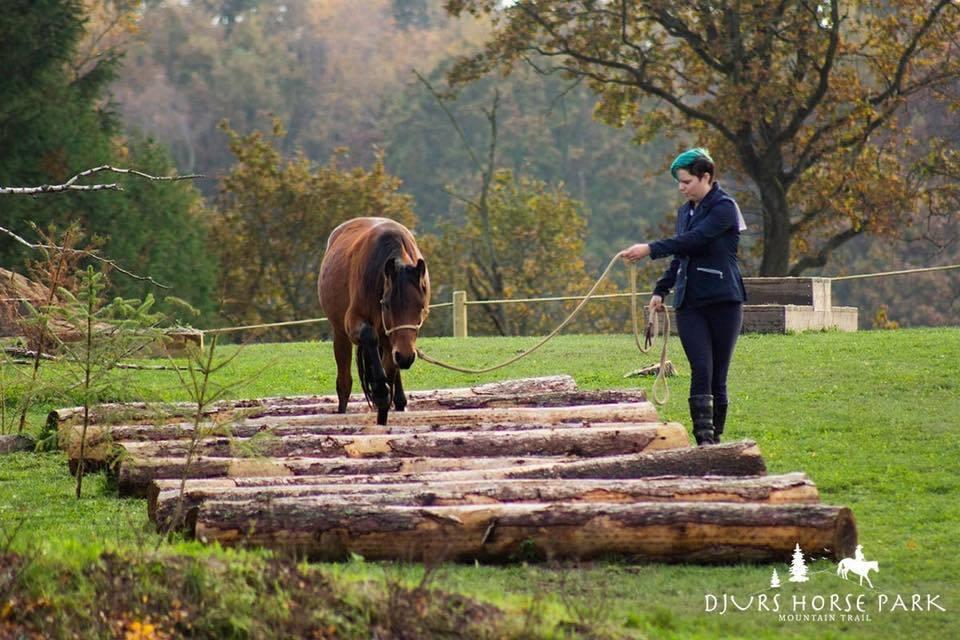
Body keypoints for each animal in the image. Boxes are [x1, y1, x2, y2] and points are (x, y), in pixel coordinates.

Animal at [318, 219, 432, 424]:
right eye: (386, 305)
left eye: (421, 307)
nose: (406, 357)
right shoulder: (353, 323)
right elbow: (368, 336)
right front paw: (379, 391)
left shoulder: (393, 342)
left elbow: (390, 372)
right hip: (341, 335)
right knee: (344, 384)